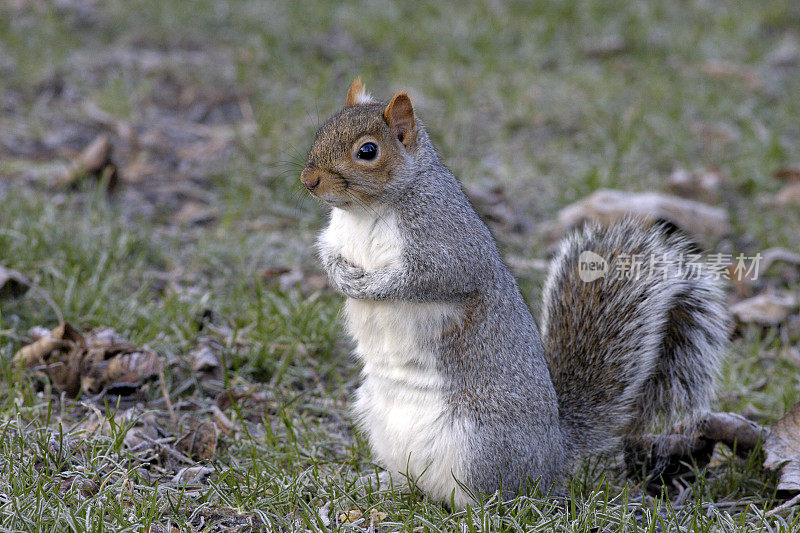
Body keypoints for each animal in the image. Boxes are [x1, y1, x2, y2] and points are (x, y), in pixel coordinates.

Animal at [300, 79, 732, 508]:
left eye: (367, 151)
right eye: (321, 130)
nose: (308, 180)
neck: (365, 212)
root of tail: (553, 453)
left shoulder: (448, 244)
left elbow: (427, 279)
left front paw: (367, 285)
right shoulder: (335, 236)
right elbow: (327, 253)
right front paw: (340, 276)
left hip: (482, 443)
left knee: (497, 494)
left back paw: (480, 509)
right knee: (415, 480)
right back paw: (382, 483)